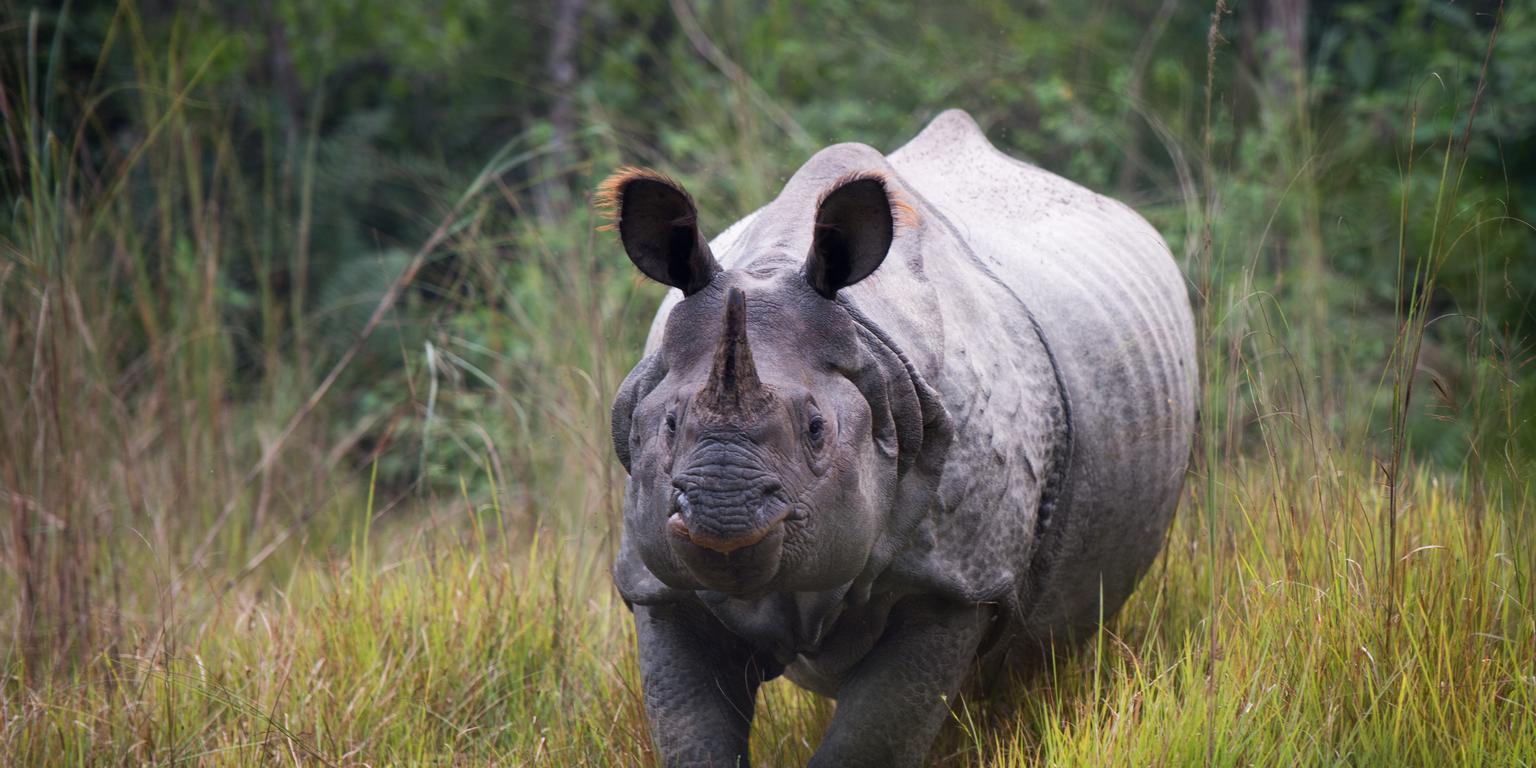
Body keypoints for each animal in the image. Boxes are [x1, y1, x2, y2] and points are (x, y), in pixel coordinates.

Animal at [603, 109, 1196, 767]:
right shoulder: (658, 584)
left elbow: (872, 737)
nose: (721, 512)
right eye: (669, 424)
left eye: (817, 430)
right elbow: (692, 732)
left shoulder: (955, 580)